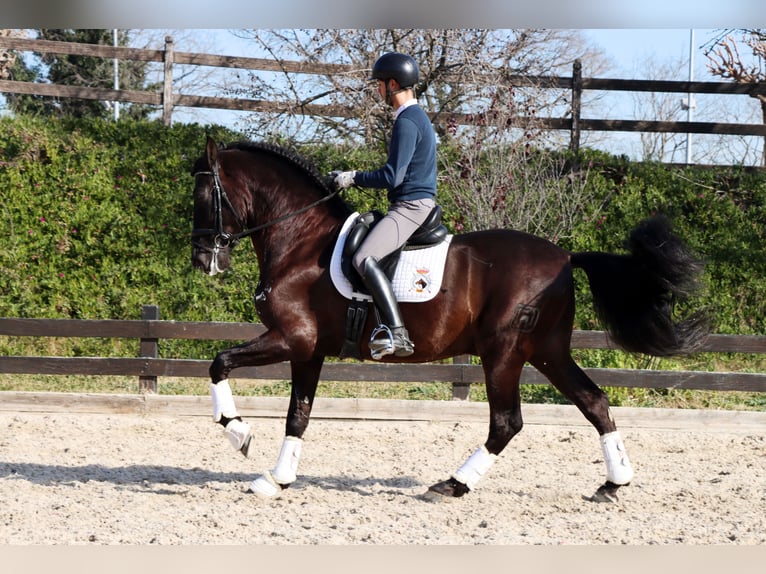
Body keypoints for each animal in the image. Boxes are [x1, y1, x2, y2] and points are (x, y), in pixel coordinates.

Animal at [190, 136, 708, 502]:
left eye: (204, 196)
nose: (202, 261)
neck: (300, 240)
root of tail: (564, 257)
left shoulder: (291, 338)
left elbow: (219, 363)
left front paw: (239, 432)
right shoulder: (308, 350)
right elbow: (298, 414)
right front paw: (276, 479)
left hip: (504, 353)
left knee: (507, 423)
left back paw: (454, 485)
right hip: (547, 350)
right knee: (594, 402)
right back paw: (613, 484)